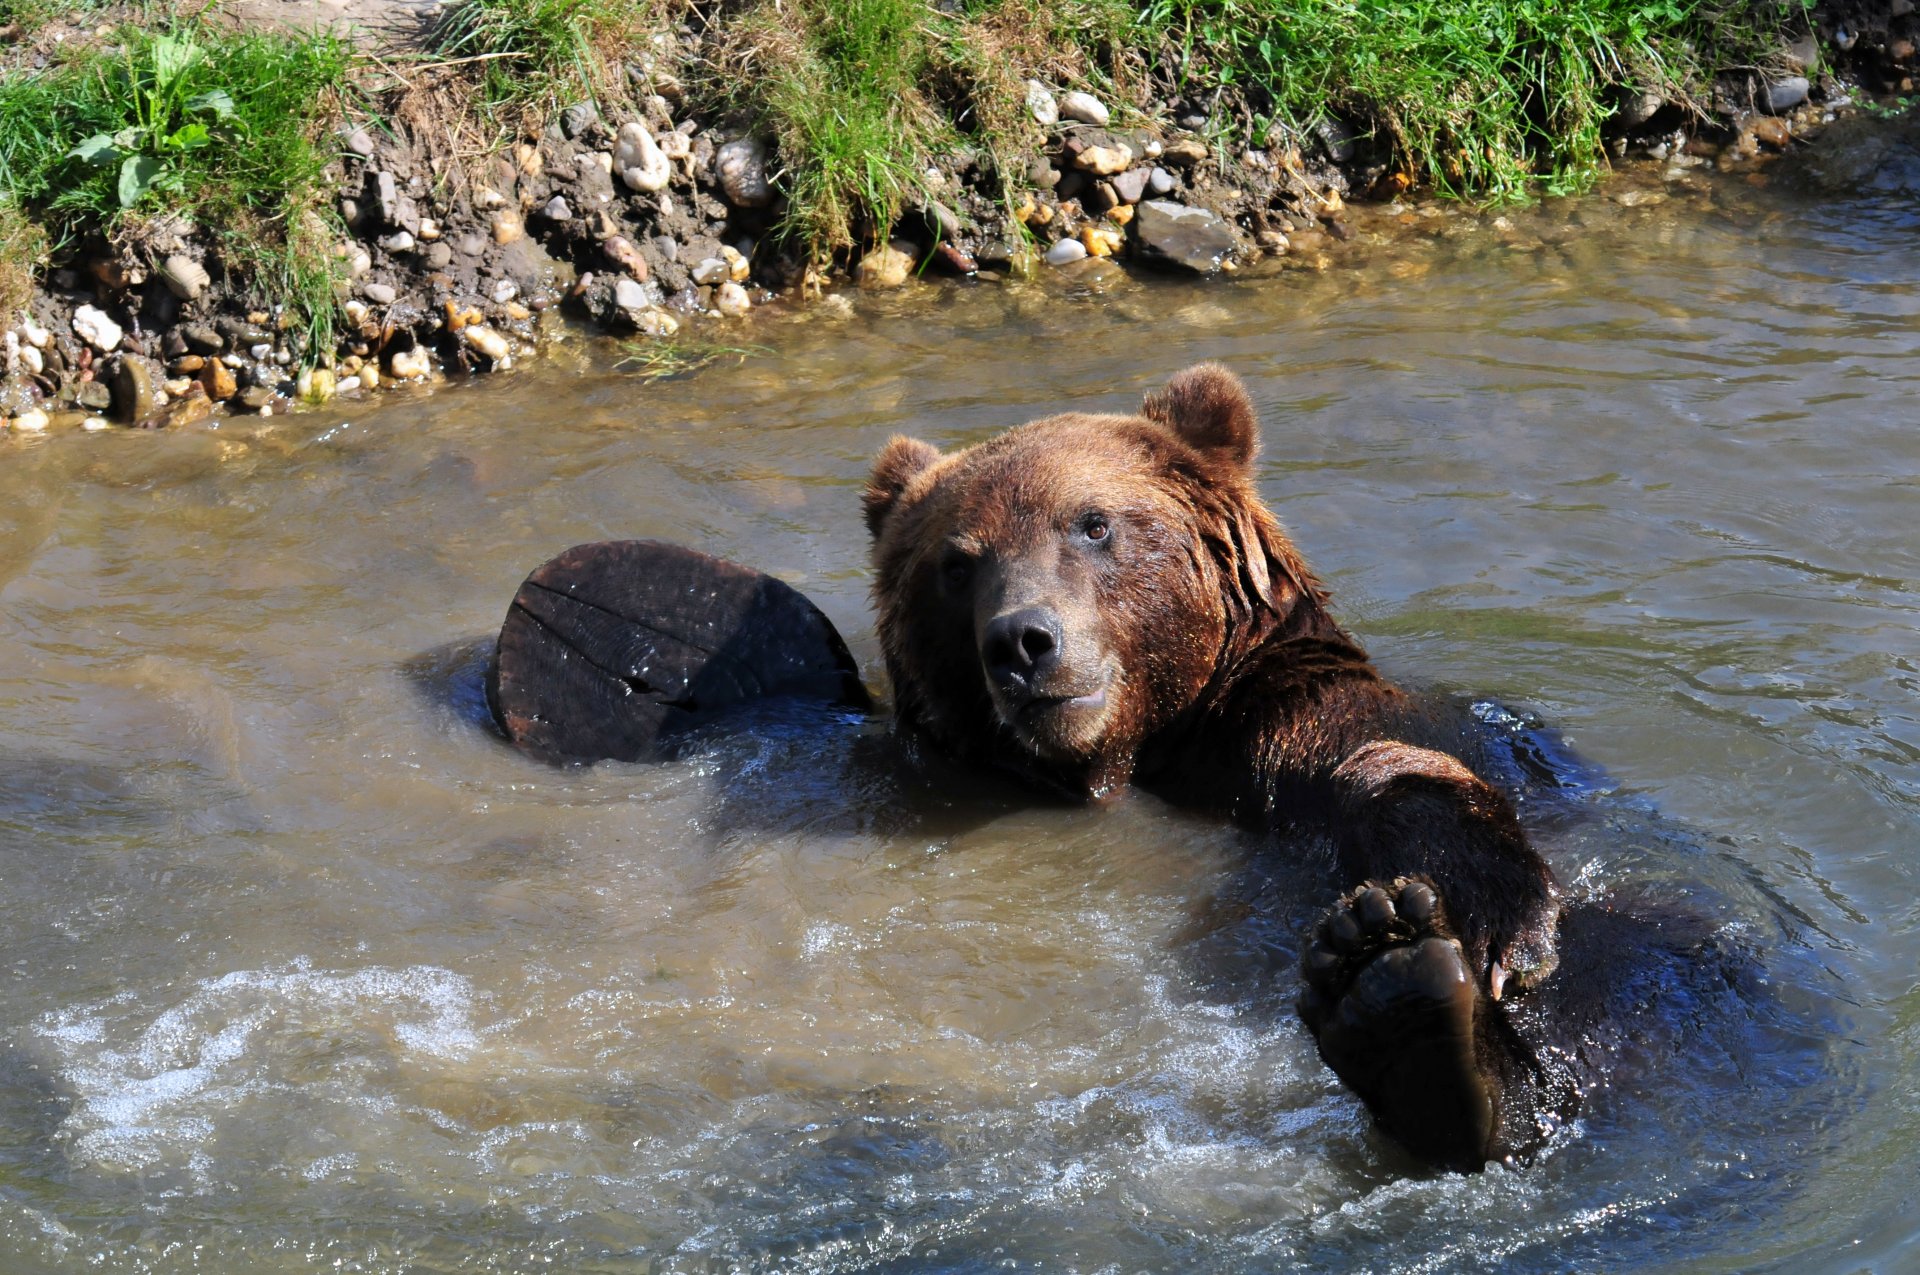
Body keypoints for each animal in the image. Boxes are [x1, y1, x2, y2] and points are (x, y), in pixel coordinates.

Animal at [861, 362, 1588, 1170]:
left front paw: (1497, 924)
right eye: (956, 563)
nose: (1021, 641)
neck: (1137, 752)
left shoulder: (1283, 727)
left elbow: (1397, 767)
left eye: (1091, 523)